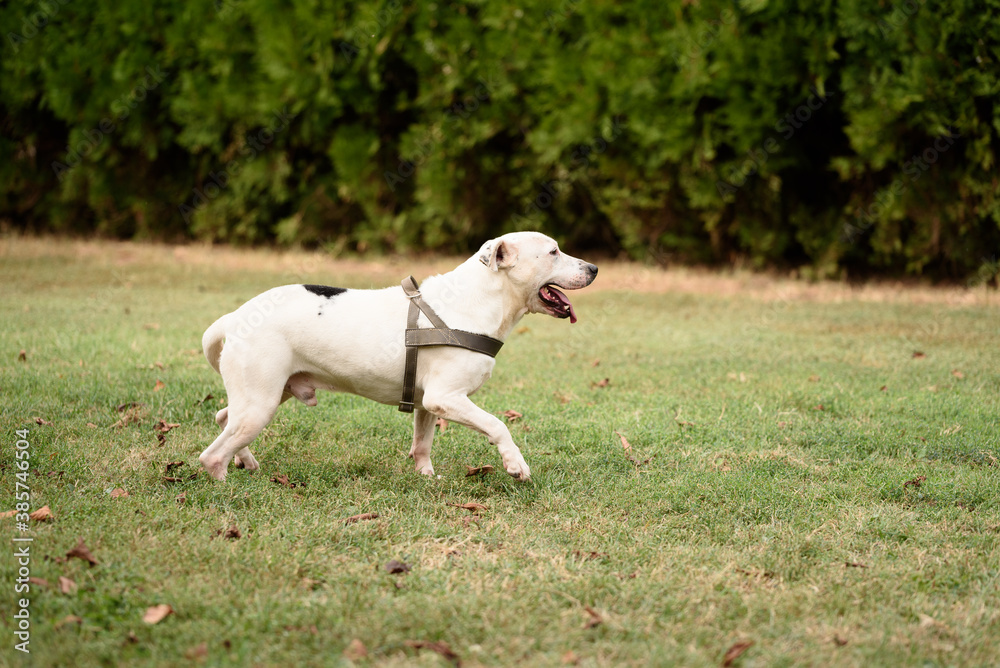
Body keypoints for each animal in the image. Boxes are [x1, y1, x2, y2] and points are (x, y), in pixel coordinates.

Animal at [199, 232, 596, 482]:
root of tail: (235, 317)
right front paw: (515, 465)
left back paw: (247, 461)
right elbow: (498, 425)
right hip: (260, 404)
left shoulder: (428, 404)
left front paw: (426, 476)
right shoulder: (447, 398)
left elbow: (422, 444)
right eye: (554, 252)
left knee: (223, 417)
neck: (480, 299)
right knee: (212, 455)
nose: (593, 268)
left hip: (267, 395)